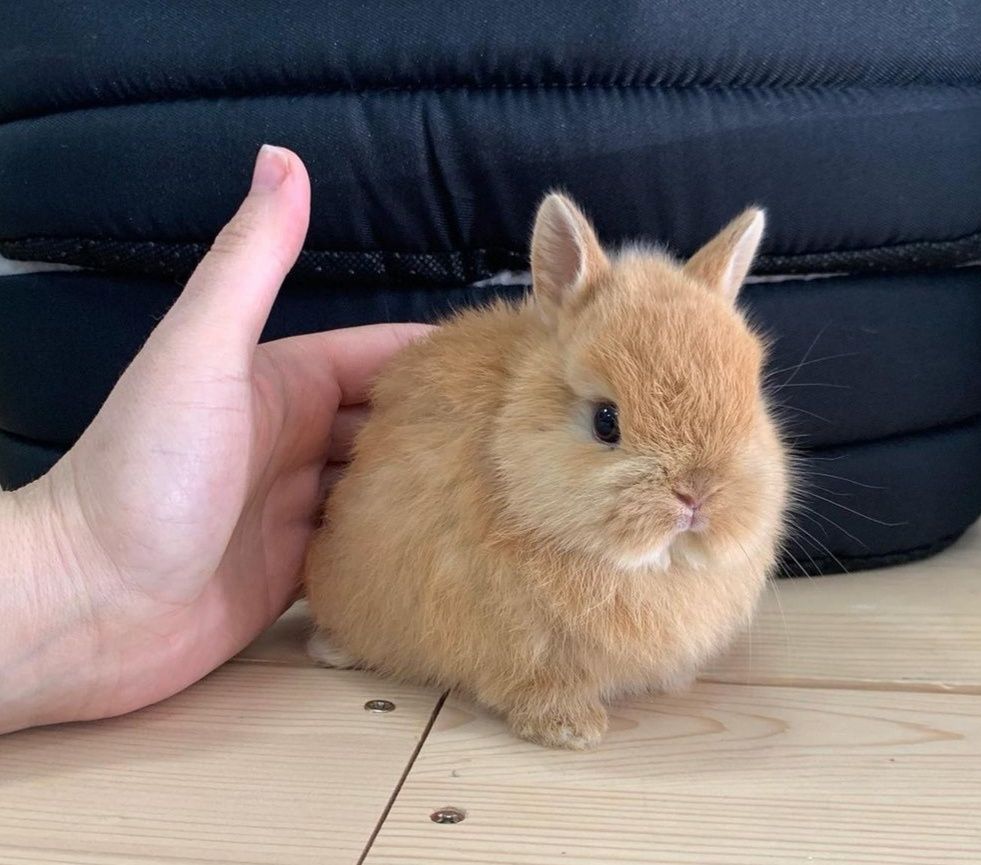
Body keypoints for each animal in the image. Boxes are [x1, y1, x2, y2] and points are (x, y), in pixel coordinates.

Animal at [306, 192, 788, 744]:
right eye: (606, 422)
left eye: (749, 407)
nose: (697, 496)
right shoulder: (513, 638)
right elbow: (536, 681)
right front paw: (570, 731)